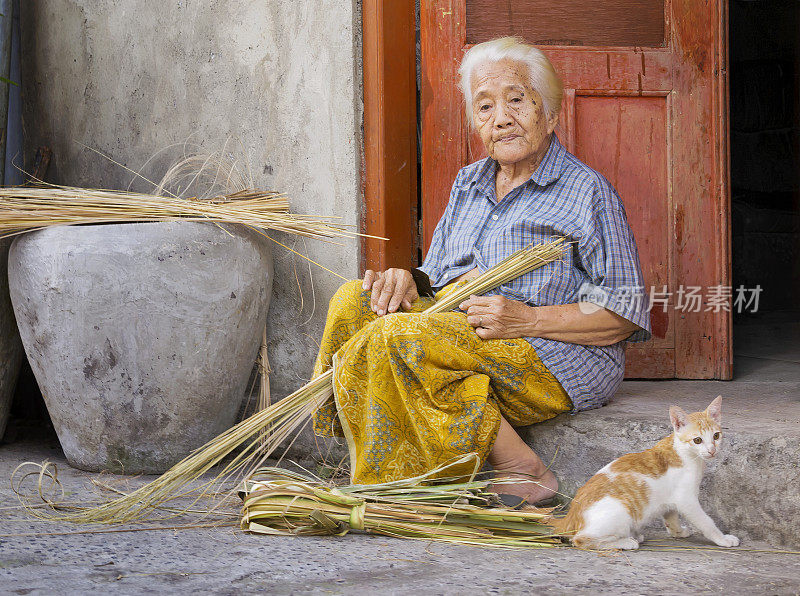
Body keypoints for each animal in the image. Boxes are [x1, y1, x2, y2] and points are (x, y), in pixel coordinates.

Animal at [552, 396, 736, 548]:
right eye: (697, 440)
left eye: (716, 436)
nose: (712, 450)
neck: (686, 454)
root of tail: (569, 517)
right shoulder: (687, 500)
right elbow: (706, 522)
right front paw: (723, 539)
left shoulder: (671, 499)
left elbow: (671, 516)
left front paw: (678, 531)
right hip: (620, 511)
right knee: (581, 540)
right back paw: (627, 541)